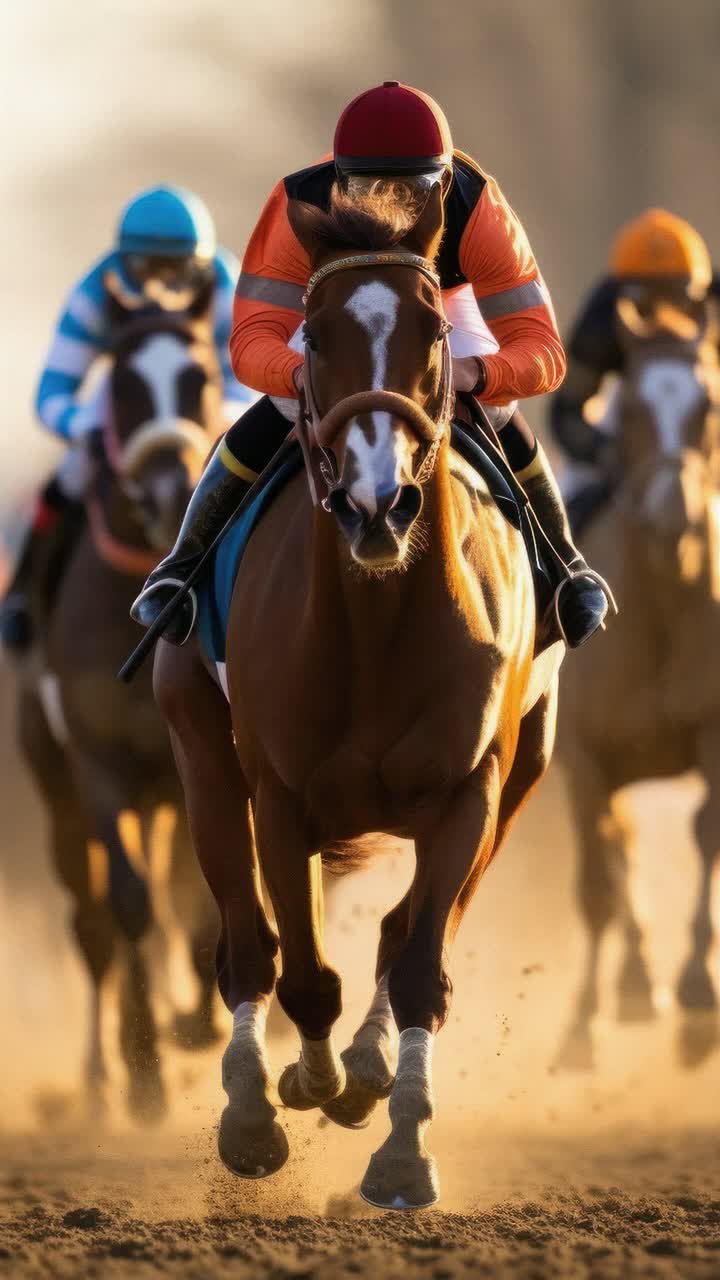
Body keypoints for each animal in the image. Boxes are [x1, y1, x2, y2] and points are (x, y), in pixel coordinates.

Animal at [154, 185, 564, 1207]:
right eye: (315, 327)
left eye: (433, 330)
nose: (379, 503)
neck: (376, 631)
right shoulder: (281, 796)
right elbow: (299, 969)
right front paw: (292, 1093)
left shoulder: (471, 792)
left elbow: (417, 962)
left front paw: (402, 1148)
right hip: (203, 757)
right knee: (248, 945)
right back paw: (258, 1096)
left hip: (521, 777)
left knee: (398, 930)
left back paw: (371, 1066)